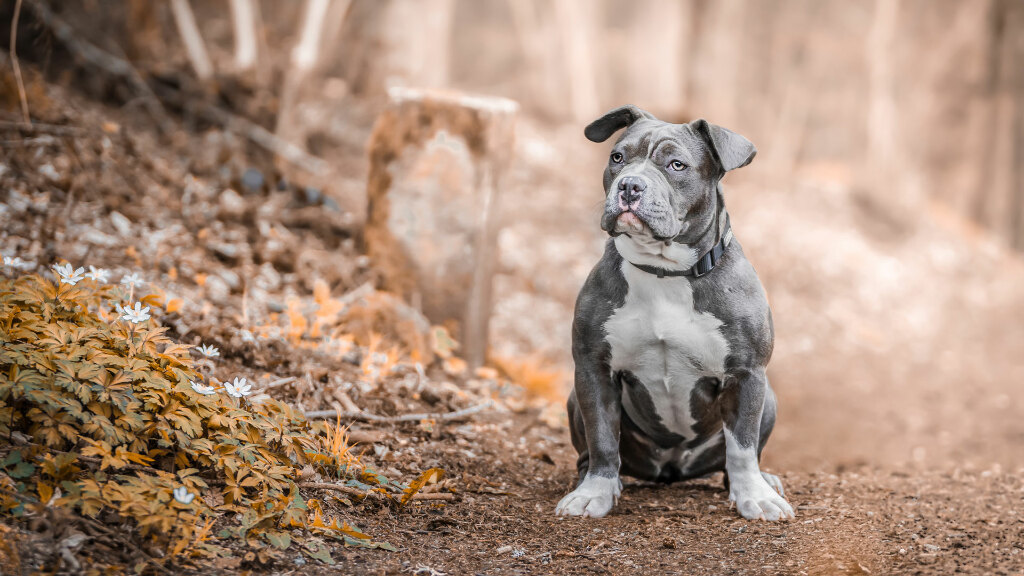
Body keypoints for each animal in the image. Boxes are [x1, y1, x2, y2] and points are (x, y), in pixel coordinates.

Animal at [557, 104, 794, 520]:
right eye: (617, 158)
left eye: (676, 165)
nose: (630, 186)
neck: (665, 272)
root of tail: (671, 468)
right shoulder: (593, 368)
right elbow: (602, 438)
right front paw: (595, 492)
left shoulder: (747, 373)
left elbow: (743, 446)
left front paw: (755, 496)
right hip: (574, 397)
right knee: (591, 454)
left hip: (770, 400)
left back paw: (760, 482)